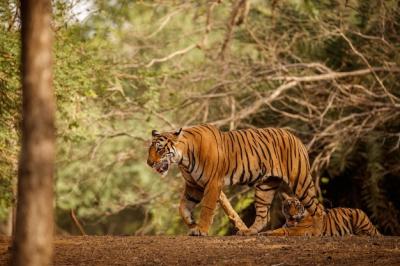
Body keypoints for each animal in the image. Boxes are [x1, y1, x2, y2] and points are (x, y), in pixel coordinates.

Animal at [147, 123, 324, 236]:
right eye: (150, 150)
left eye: (159, 149)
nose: (149, 163)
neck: (183, 159)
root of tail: (294, 136)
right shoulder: (193, 187)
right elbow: (183, 208)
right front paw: (192, 224)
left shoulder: (212, 183)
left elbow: (207, 208)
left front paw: (201, 229)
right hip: (265, 186)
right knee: (263, 215)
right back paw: (248, 232)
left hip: (300, 181)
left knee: (318, 208)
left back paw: (318, 231)